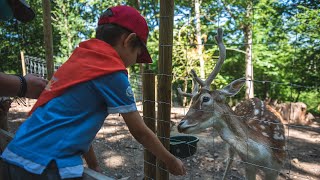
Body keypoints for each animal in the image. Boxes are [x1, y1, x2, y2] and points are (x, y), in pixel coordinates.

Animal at [178, 27, 284, 179]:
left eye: (205, 99)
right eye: (192, 100)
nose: (181, 125)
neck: (262, 156)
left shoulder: (276, 167)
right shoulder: (248, 165)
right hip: (231, 149)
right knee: (230, 159)